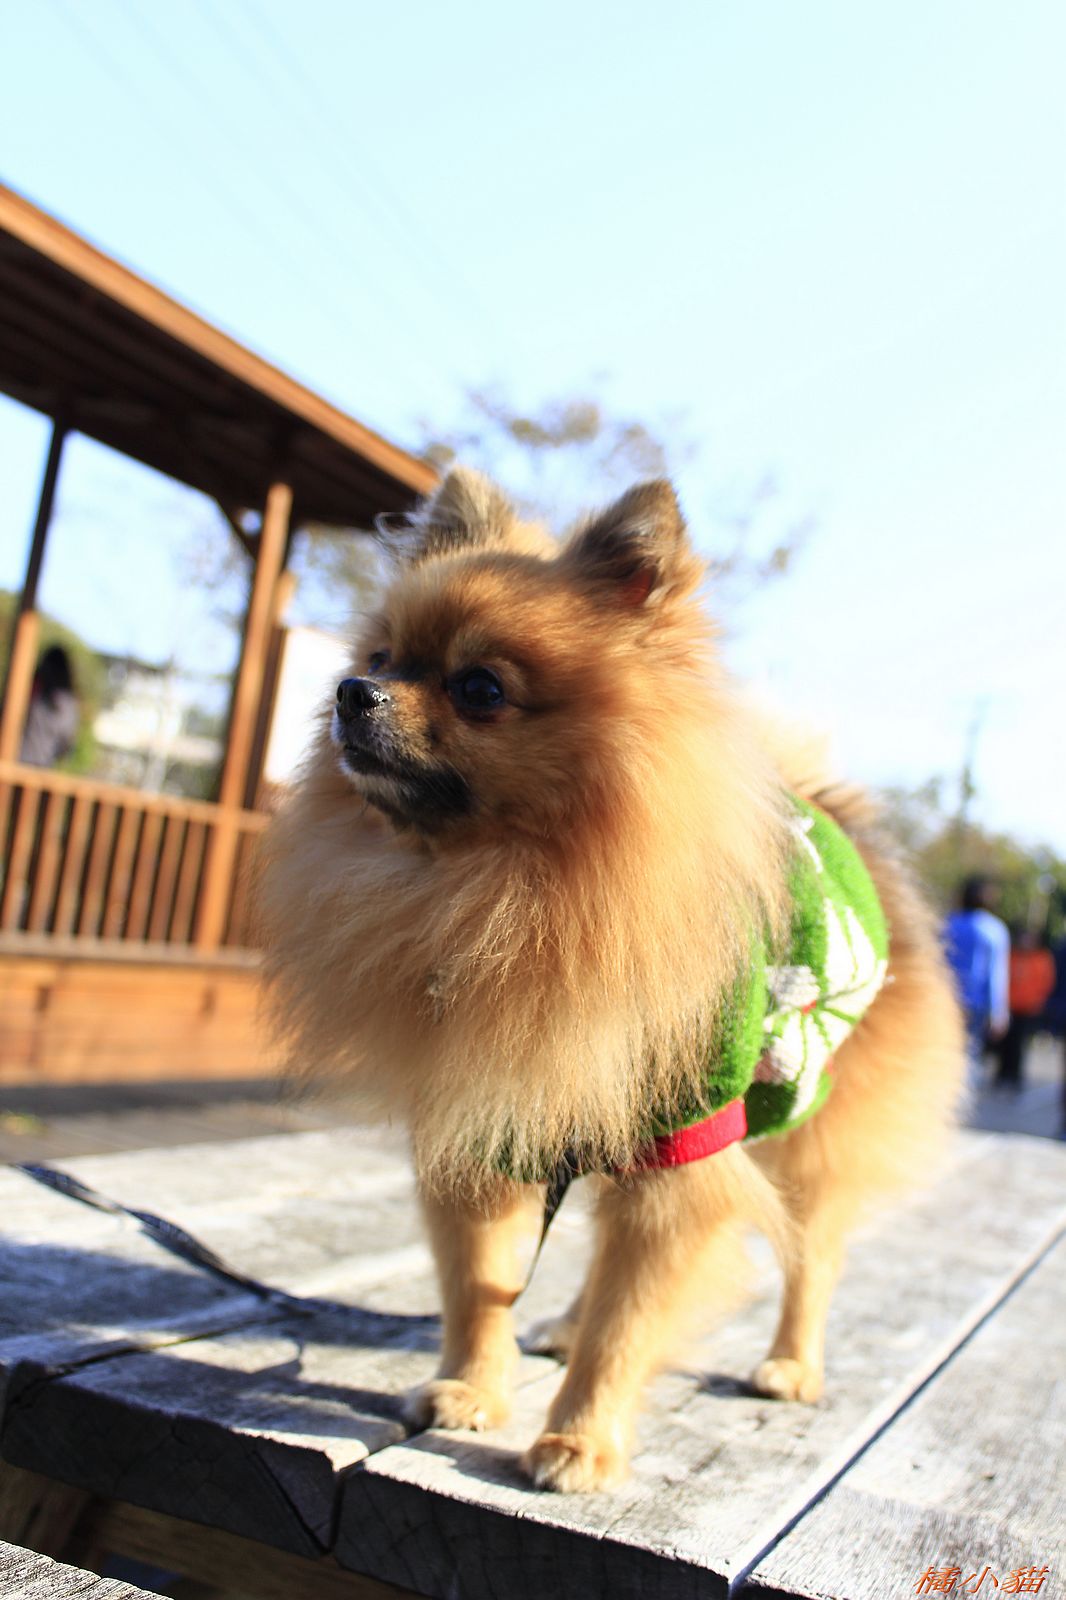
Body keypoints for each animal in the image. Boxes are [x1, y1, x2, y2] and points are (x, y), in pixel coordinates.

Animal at [259, 467, 964, 1492]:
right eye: (382, 656)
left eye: (480, 688)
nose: (353, 691)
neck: (501, 890)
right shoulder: (489, 1113)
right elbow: (477, 1280)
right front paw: (472, 1387)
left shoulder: (681, 1143)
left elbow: (631, 1318)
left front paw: (580, 1438)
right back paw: (560, 1323)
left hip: (812, 1134)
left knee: (814, 1254)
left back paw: (790, 1364)